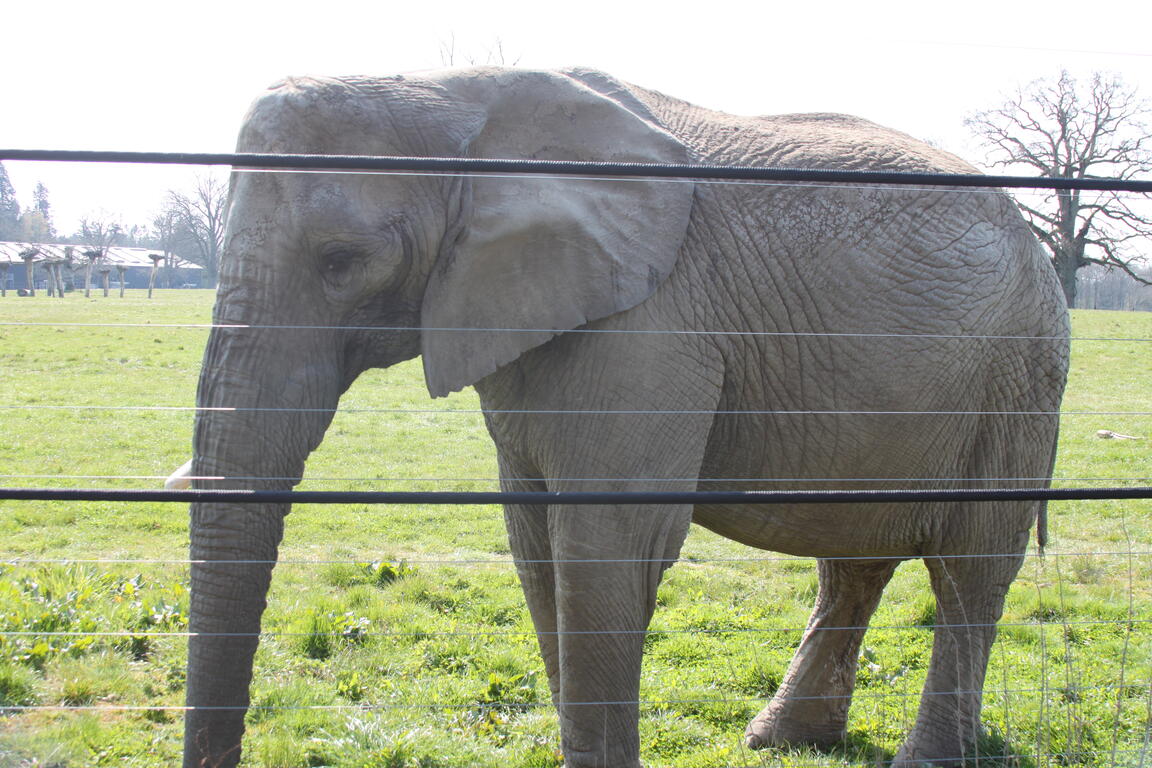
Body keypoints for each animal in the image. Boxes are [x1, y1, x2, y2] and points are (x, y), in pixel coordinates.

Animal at [183, 66, 1069, 768]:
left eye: (342, 262)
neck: (456, 92)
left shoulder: (651, 322)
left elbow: (607, 541)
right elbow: (536, 544)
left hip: (1021, 376)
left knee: (970, 568)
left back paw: (923, 756)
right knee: (855, 559)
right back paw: (781, 741)